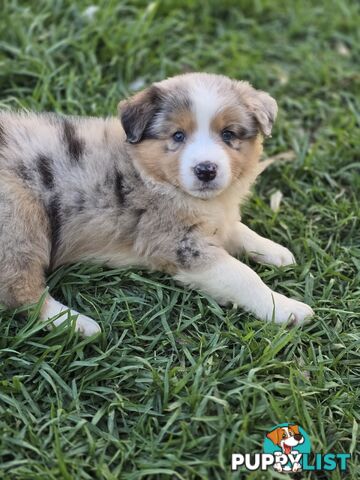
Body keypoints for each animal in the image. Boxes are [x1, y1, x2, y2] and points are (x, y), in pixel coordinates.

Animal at [0, 72, 312, 334]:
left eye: (228, 134)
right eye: (178, 136)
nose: (206, 170)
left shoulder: (212, 221)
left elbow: (238, 229)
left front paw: (276, 252)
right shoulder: (182, 245)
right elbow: (243, 276)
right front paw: (287, 308)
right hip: (21, 218)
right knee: (20, 291)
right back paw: (80, 325)